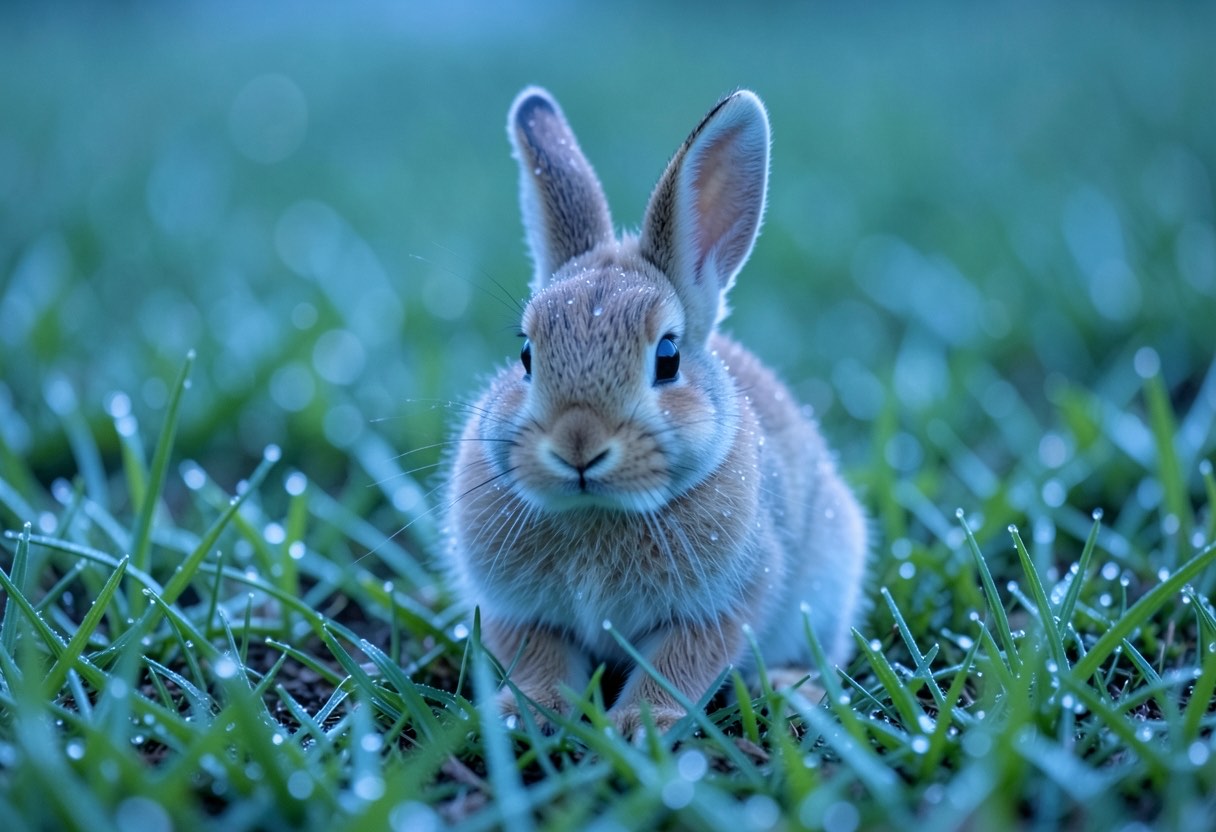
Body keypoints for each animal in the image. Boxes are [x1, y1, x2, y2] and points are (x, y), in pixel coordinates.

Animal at [443, 86, 868, 737]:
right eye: (525, 355)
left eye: (667, 358)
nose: (578, 444)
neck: (596, 510)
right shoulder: (520, 610)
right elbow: (539, 660)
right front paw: (529, 715)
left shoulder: (721, 607)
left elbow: (679, 664)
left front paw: (642, 725)